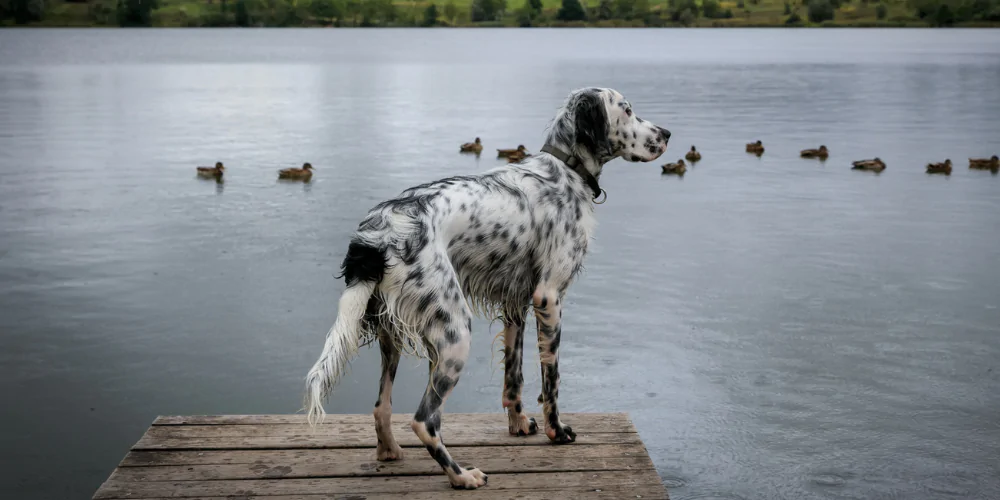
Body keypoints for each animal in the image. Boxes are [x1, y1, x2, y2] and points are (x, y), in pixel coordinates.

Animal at [300, 86, 668, 488]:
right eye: (628, 111)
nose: (666, 134)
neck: (566, 169)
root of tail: (380, 233)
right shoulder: (549, 297)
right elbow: (551, 378)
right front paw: (557, 431)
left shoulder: (516, 302)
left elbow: (514, 377)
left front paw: (519, 424)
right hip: (455, 334)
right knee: (424, 420)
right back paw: (462, 476)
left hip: (393, 334)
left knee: (382, 407)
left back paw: (389, 451)